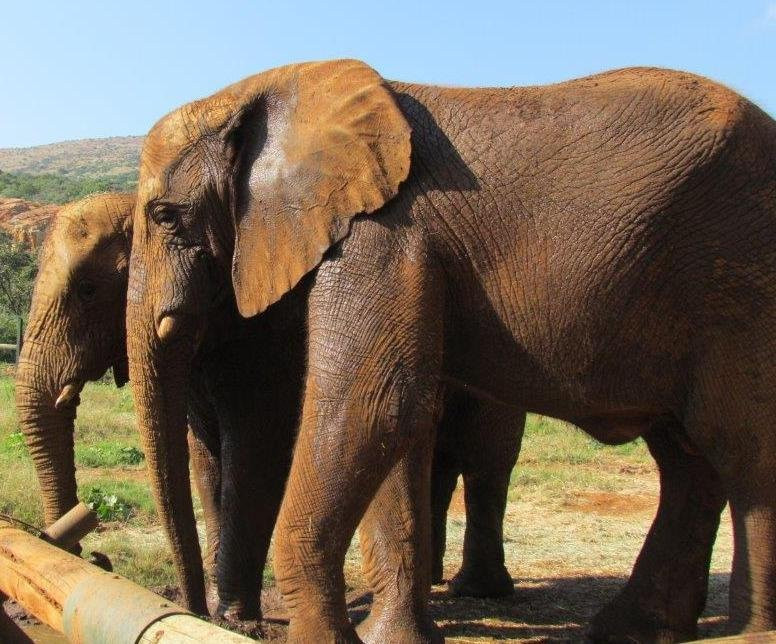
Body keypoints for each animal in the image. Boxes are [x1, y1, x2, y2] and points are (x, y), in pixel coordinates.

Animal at [14, 192, 522, 624]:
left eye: (87, 290)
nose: (91, 555)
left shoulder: (265, 334)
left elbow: (253, 450)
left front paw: (235, 617)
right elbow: (205, 459)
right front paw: (220, 606)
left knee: (486, 463)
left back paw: (475, 589)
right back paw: (435, 585)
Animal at [125, 59, 774, 642]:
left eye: (164, 215)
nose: (201, 614)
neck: (276, 87)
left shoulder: (383, 237)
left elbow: (374, 406)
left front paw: (328, 639)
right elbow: (403, 425)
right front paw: (394, 639)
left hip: (740, 280)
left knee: (740, 450)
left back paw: (743, 635)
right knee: (688, 459)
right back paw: (631, 628)